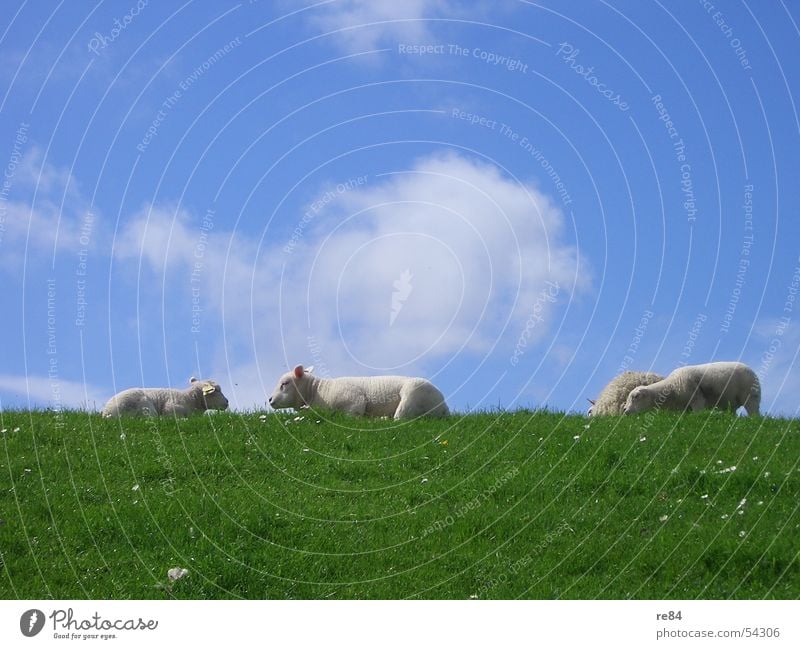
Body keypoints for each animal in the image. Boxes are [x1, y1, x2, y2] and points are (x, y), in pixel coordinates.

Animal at [270, 368, 450, 418]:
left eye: (285, 384)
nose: (270, 399)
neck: (317, 390)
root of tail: (444, 407)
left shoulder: (355, 402)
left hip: (412, 393)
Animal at [620, 360, 760, 416]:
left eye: (635, 397)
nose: (625, 410)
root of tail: (752, 371)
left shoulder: (697, 399)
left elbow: (698, 412)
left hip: (751, 396)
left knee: (753, 411)